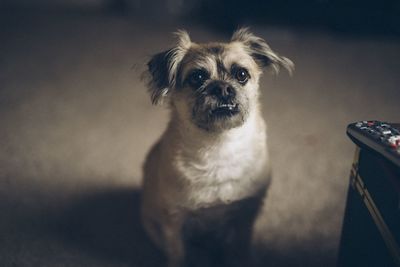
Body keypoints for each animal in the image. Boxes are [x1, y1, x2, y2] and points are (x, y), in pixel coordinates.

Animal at [141, 28, 294, 266]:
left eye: (242, 74)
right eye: (197, 77)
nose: (222, 88)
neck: (219, 146)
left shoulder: (246, 214)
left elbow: (242, 246)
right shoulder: (173, 220)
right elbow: (178, 254)